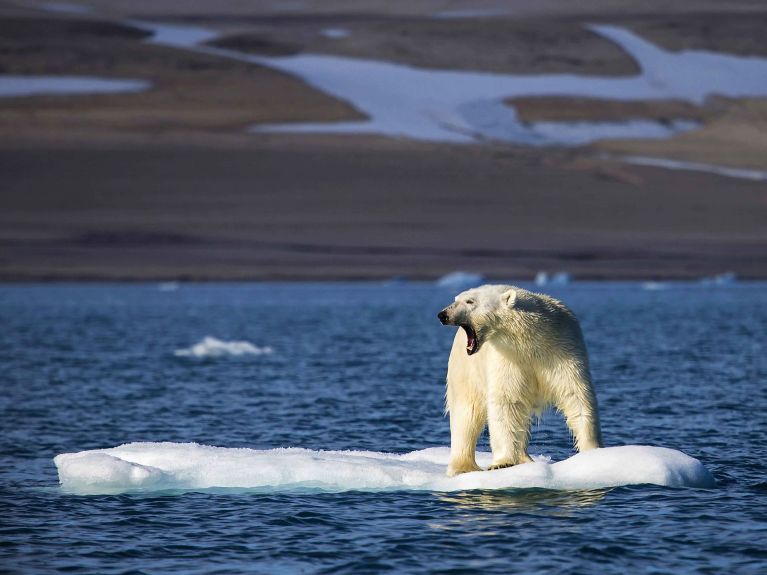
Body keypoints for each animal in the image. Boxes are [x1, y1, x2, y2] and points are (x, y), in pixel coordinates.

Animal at [436, 284, 604, 476]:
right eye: (456, 299)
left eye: (470, 301)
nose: (443, 315)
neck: (530, 340)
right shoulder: (507, 358)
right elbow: (507, 402)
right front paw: (503, 463)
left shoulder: (564, 348)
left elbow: (575, 394)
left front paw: (591, 451)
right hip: (465, 370)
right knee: (466, 413)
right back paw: (463, 467)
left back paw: (525, 459)